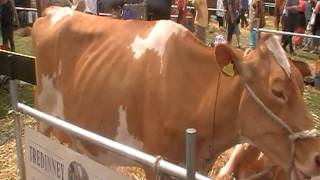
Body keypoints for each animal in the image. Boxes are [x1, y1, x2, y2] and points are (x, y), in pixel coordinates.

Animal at [31, 6, 320, 179]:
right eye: (277, 91)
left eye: (301, 85)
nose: (317, 157)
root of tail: (55, 10)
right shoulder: (152, 163)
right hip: (43, 116)